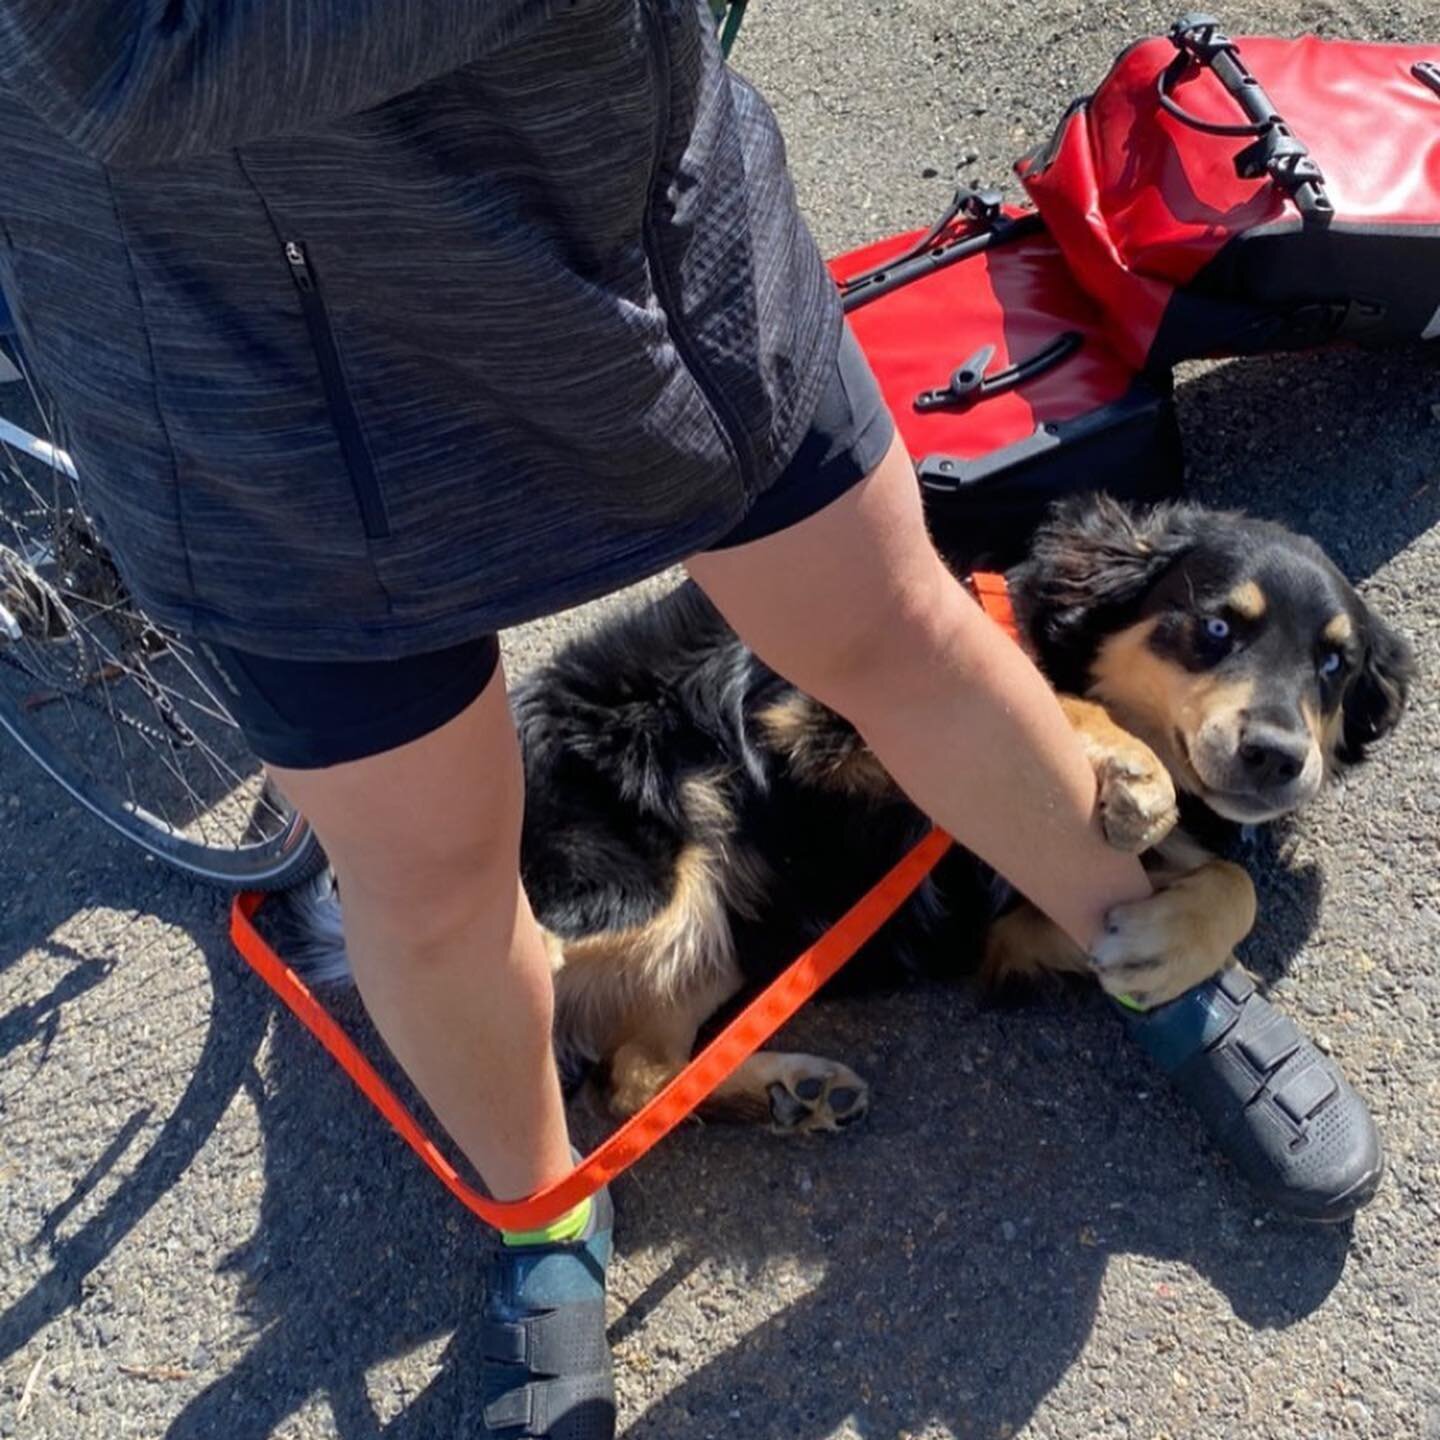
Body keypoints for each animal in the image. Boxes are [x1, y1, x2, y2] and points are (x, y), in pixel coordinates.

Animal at [286, 495, 1411, 1134]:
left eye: (1336, 665)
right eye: (1215, 626)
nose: (1278, 757)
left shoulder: (1011, 918)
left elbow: (1221, 884)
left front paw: (1167, 941)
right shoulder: (821, 713)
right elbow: (1026, 687)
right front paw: (1133, 772)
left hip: (714, 936)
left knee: (637, 1082)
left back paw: (785, 1093)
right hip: (648, 875)